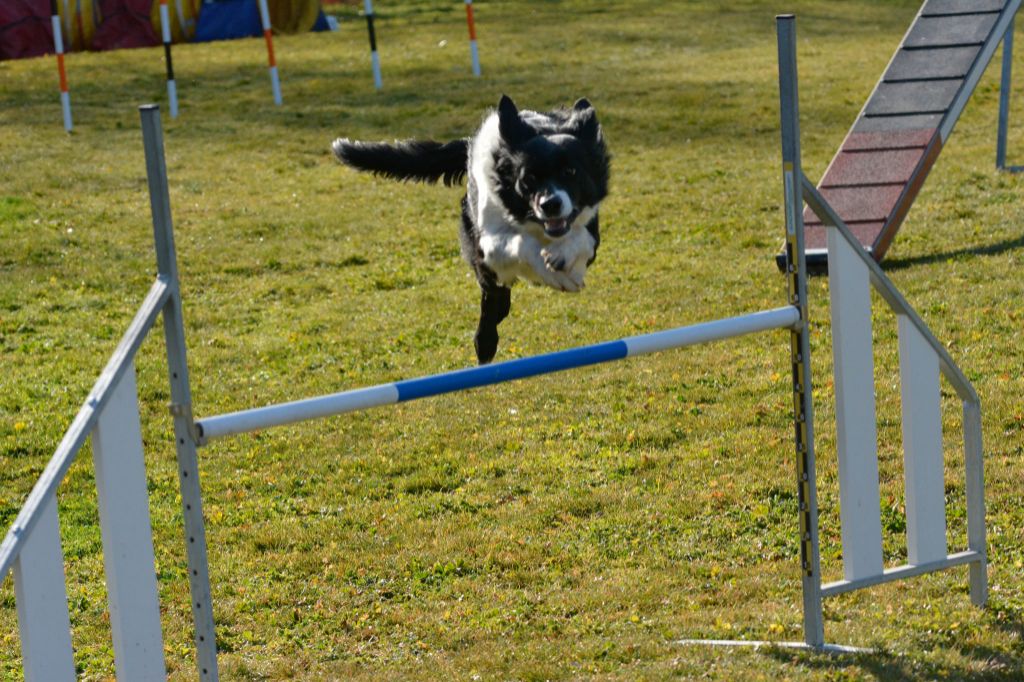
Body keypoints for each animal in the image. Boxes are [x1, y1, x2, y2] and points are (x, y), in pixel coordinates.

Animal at [333, 94, 606, 366]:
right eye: (529, 177)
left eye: (570, 171)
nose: (550, 205)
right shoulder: (488, 246)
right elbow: (519, 244)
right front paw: (554, 271)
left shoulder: (589, 230)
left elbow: (582, 240)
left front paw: (564, 261)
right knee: (492, 308)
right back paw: (485, 344)